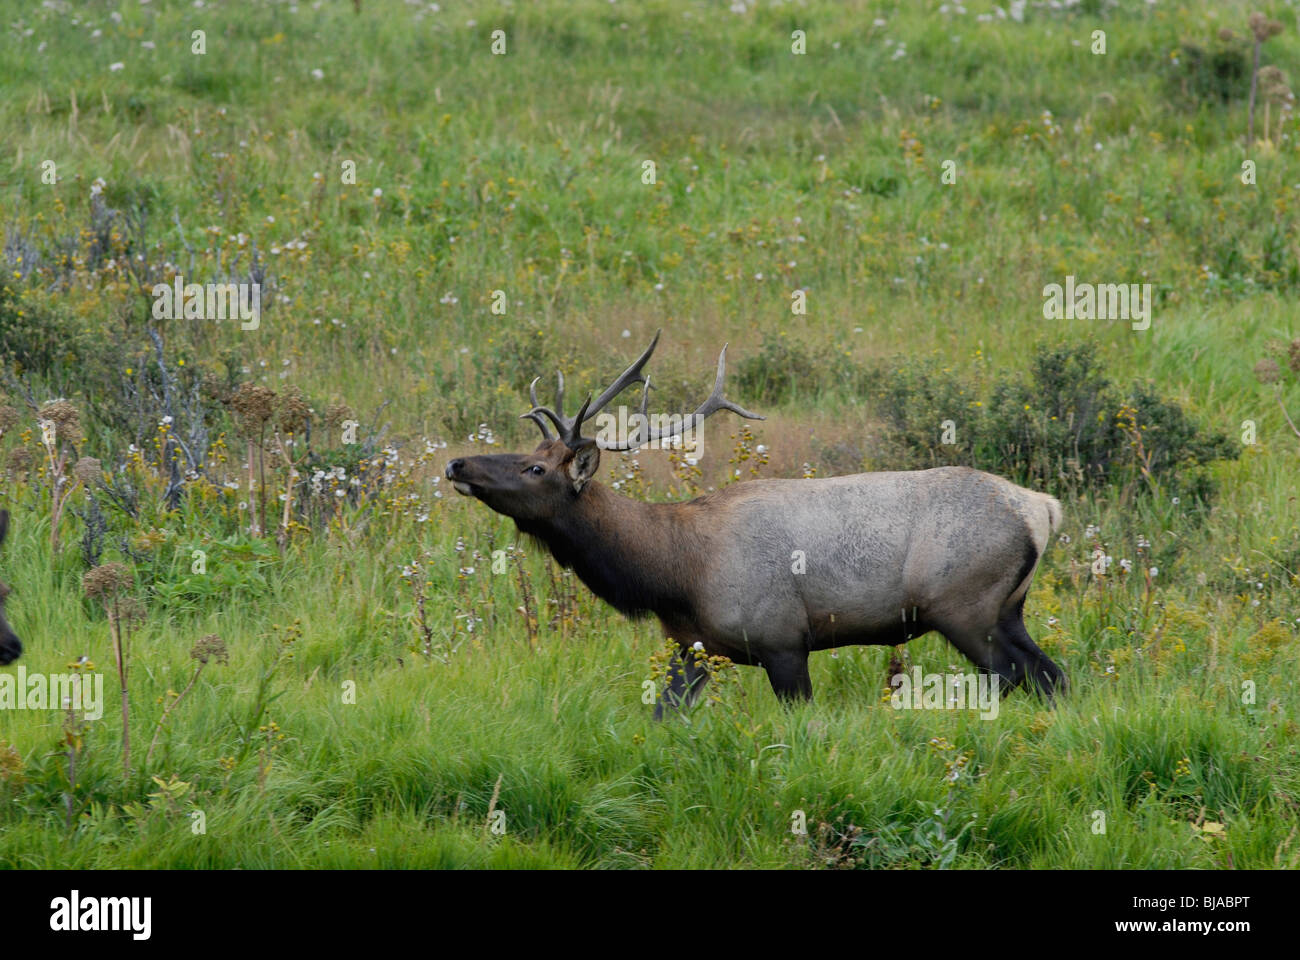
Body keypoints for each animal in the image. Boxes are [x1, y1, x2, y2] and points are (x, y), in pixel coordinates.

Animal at [447, 333, 1066, 712]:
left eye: (534, 467)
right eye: (532, 450)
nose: (456, 464)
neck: (675, 574)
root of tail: (1043, 507)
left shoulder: (783, 638)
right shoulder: (692, 647)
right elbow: (661, 719)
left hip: (964, 606)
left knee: (1017, 676)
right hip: (1007, 608)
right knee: (1052, 675)